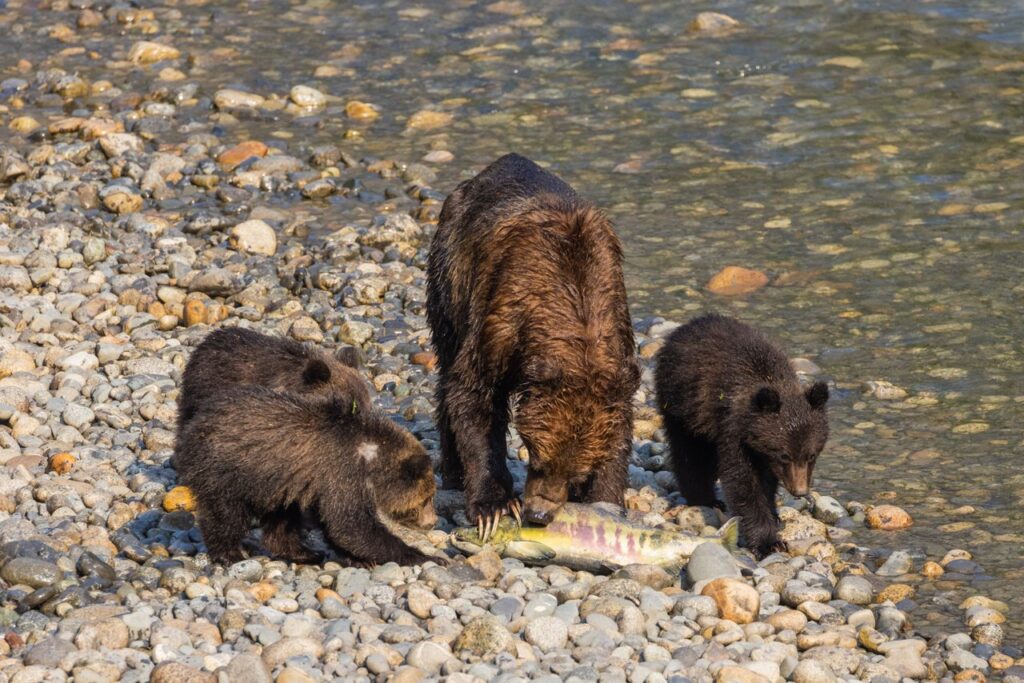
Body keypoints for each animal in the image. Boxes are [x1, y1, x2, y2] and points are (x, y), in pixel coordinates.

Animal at [174, 384, 439, 566]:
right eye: (427, 499)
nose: (432, 522)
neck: (371, 456)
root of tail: (193, 425)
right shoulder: (342, 471)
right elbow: (351, 525)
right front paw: (422, 556)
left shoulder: (321, 481)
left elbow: (337, 525)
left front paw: (357, 558)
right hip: (224, 467)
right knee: (225, 513)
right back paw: (229, 553)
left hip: (279, 481)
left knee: (282, 517)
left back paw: (305, 552)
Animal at [426, 153, 640, 536]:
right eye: (538, 457)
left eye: (574, 473)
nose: (539, 515)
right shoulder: (501, 321)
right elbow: (473, 396)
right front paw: (492, 505)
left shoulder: (619, 335)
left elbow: (618, 430)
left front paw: (606, 499)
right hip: (449, 273)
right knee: (447, 365)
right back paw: (452, 471)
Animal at [654, 313, 829, 558]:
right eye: (785, 455)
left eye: (811, 455)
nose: (800, 491)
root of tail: (686, 326)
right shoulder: (733, 431)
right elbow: (743, 483)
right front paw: (768, 541)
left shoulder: (761, 451)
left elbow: (766, 482)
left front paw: (773, 514)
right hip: (682, 406)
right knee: (689, 454)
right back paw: (704, 498)